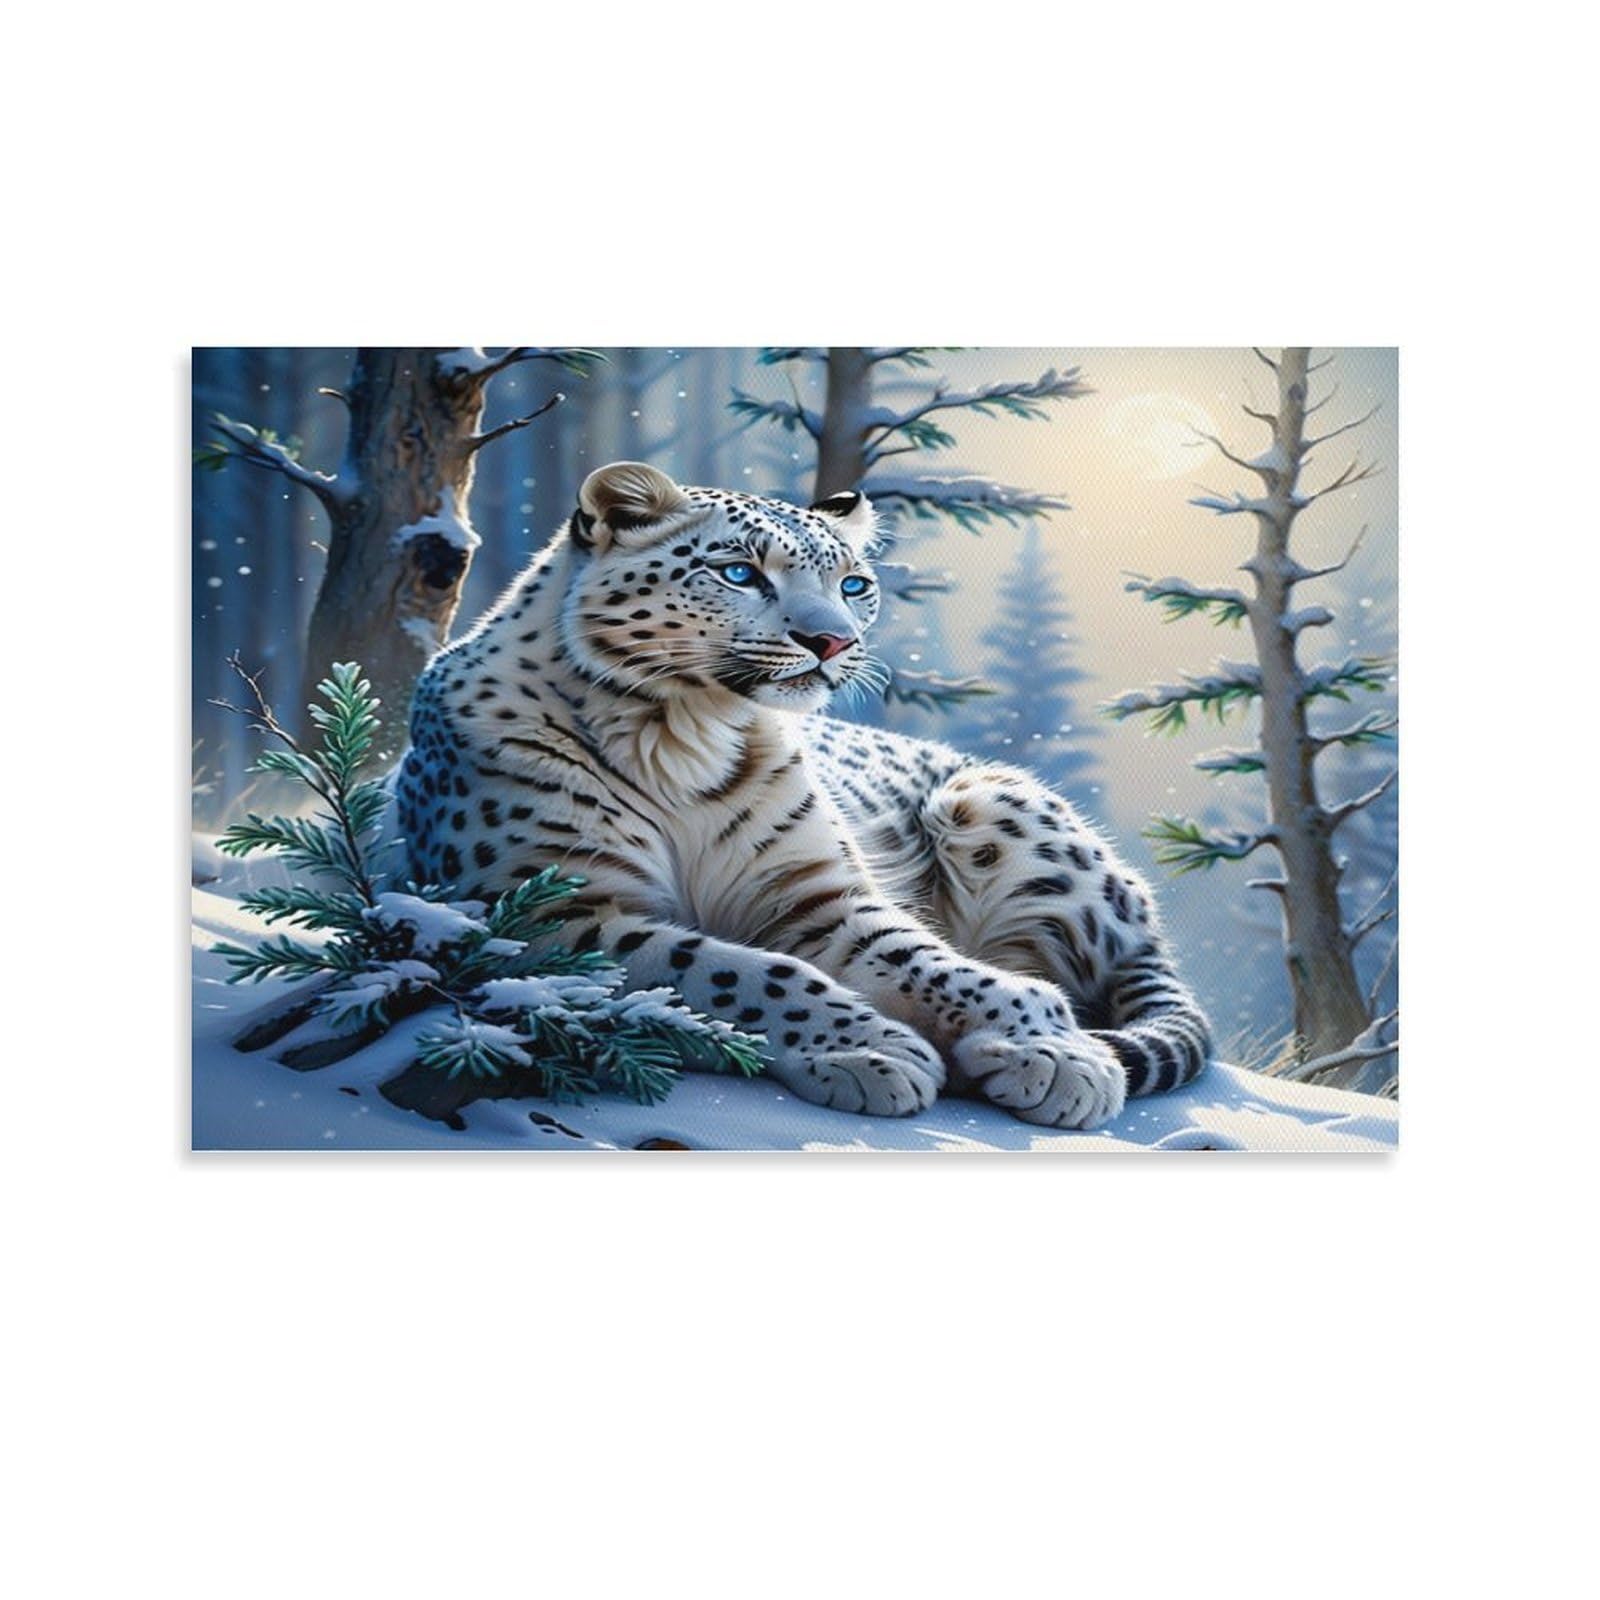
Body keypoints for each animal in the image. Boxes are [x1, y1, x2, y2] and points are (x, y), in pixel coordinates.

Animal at [393, 461, 1211, 1131]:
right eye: (738, 572)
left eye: (853, 584)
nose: (834, 641)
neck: (686, 736)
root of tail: (1141, 904)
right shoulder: (552, 914)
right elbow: (737, 971)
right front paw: (876, 1052)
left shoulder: (817, 895)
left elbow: (926, 959)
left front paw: (1052, 1051)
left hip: (990, 799)